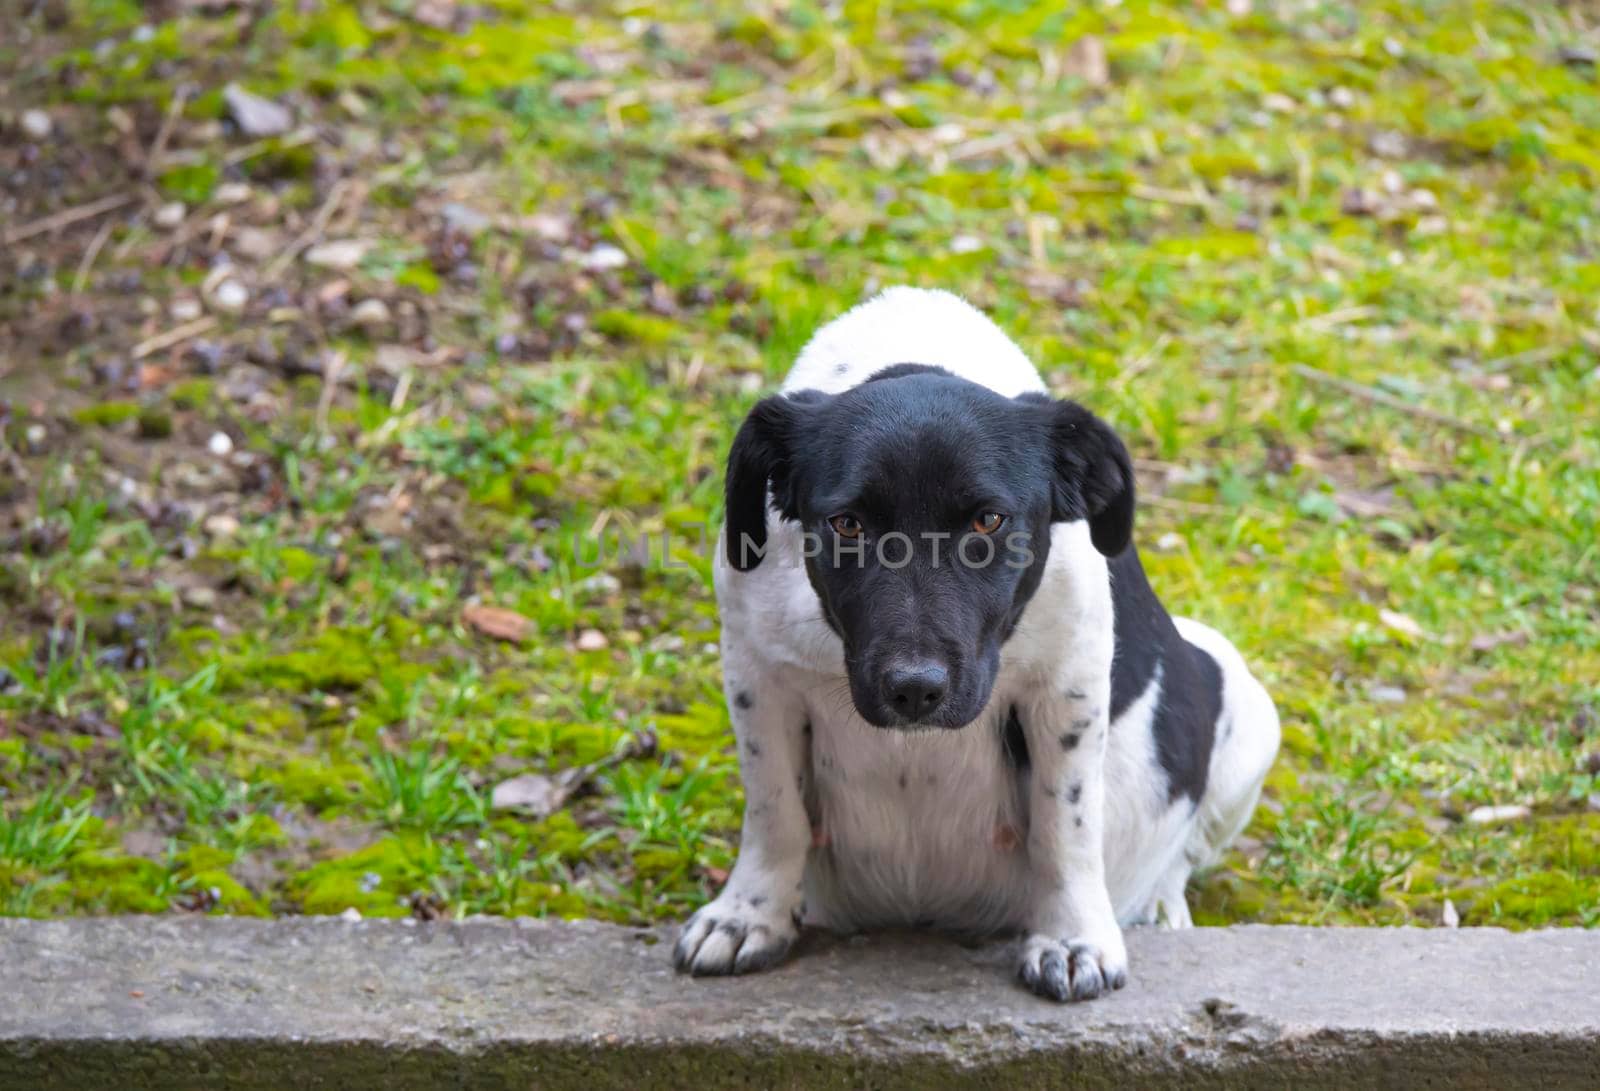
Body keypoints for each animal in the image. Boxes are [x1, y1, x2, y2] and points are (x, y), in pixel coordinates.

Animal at [668, 284, 1280, 998]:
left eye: (989, 521)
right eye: (846, 525)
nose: (914, 691)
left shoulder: (1065, 690)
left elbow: (1064, 825)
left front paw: (1073, 939)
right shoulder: (757, 678)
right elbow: (775, 813)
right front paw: (748, 917)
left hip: (1245, 707)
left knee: (1184, 848)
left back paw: (1158, 903)